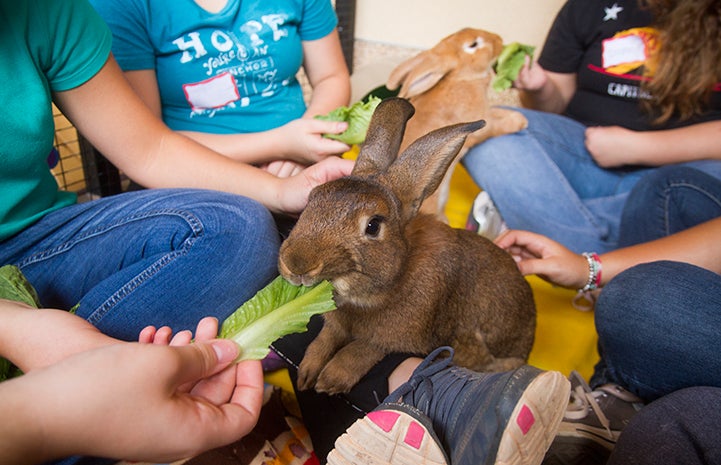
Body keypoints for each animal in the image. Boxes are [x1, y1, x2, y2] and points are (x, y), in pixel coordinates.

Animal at [276, 98, 536, 396]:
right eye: (314, 196)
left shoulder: (398, 338)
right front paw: (307, 373)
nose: (297, 263)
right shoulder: (337, 325)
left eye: (373, 226)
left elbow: (363, 349)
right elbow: (326, 337)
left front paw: (330, 380)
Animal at [386, 27, 524, 219]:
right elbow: (498, 126)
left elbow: (497, 112)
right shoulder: (482, 126)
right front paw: (522, 122)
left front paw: (517, 115)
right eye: (473, 44)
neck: (462, 78)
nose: (499, 39)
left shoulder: (487, 112)